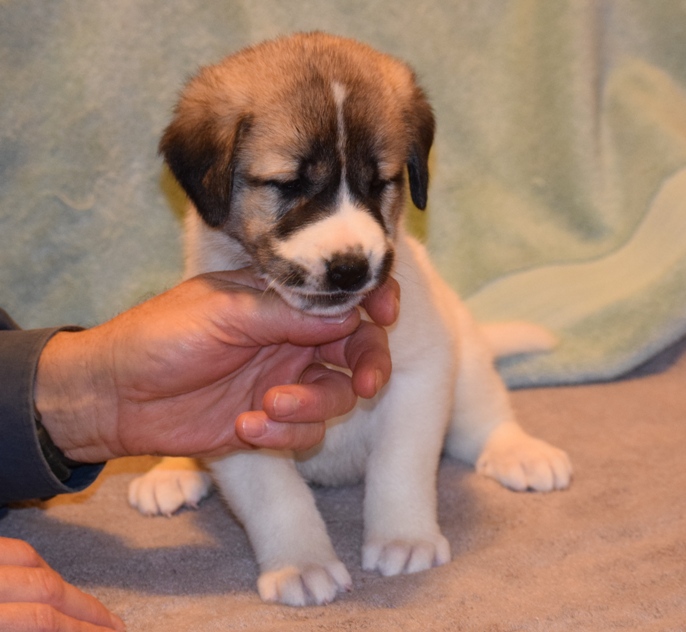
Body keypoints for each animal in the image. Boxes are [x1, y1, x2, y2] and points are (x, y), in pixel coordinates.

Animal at [129, 32, 572, 606]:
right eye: (287, 184)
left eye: (380, 181)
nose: (350, 267)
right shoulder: (236, 416)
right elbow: (276, 498)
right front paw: (301, 563)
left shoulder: (417, 376)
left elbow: (400, 467)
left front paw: (404, 538)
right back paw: (172, 472)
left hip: (466, 358)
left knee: (484, 420)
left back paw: (519, 452)